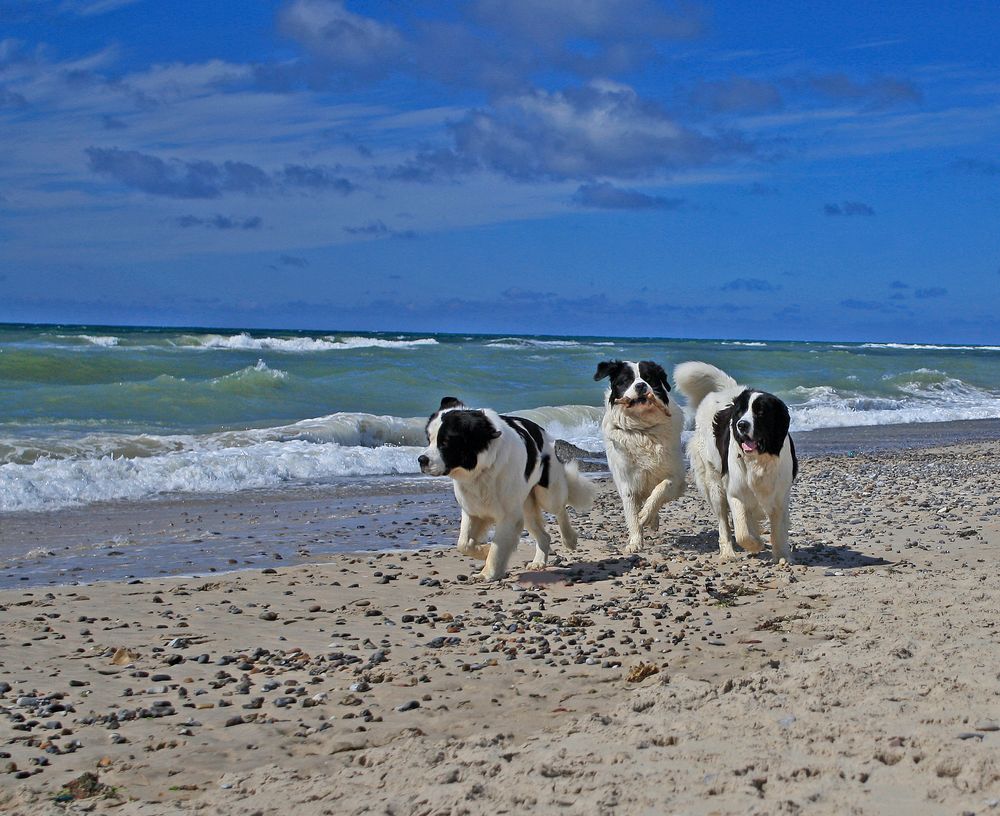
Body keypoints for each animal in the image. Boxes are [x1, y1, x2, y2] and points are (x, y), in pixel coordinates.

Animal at [420, 396, 596, 580]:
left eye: (446, 442)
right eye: (429, 440)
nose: (421, 460)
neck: (482, 468)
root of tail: (541, 430)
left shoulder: (508, 516)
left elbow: (498, 548)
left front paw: (487, 573)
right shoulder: (472, 510)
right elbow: (463, 544)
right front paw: (484, 551)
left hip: (547, 493)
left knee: (560, 508)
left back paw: (569, 539)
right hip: (526, 506)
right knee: (544, 535)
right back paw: (539, 562)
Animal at [592, 358, 688, 556]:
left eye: (648, 378)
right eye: (626, 380)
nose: (641, 385)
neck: (642, 430)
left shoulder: (677, 478)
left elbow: (662, 487)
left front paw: (645, 514)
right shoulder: (627, 483)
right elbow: (631, 515)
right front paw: (635, 542)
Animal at [672, 362, 796, 560]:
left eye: (761, 412)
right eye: (740, 412)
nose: (741, 424)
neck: (759, 460)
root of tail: (727, 390)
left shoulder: (780, 496)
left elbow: (779, 530)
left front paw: (782, 556)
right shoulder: (735, 493)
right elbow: (742, 533)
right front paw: (756, 544)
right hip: (715, 484)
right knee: (724, 521)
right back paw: (728, 552)